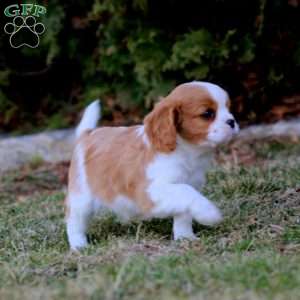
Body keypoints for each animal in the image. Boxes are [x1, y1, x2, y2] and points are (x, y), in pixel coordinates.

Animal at [65, 81, 239, 250]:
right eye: (207, 114)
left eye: (228, 108)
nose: (232, 121)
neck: (186, 151)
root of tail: (87, 134)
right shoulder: (150, 192)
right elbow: (187, 192)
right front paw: (209, 213)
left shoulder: (189, 185)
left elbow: (184, 212)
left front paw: (185, 237)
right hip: (82, 198)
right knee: (74, 220)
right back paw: (79, 245)